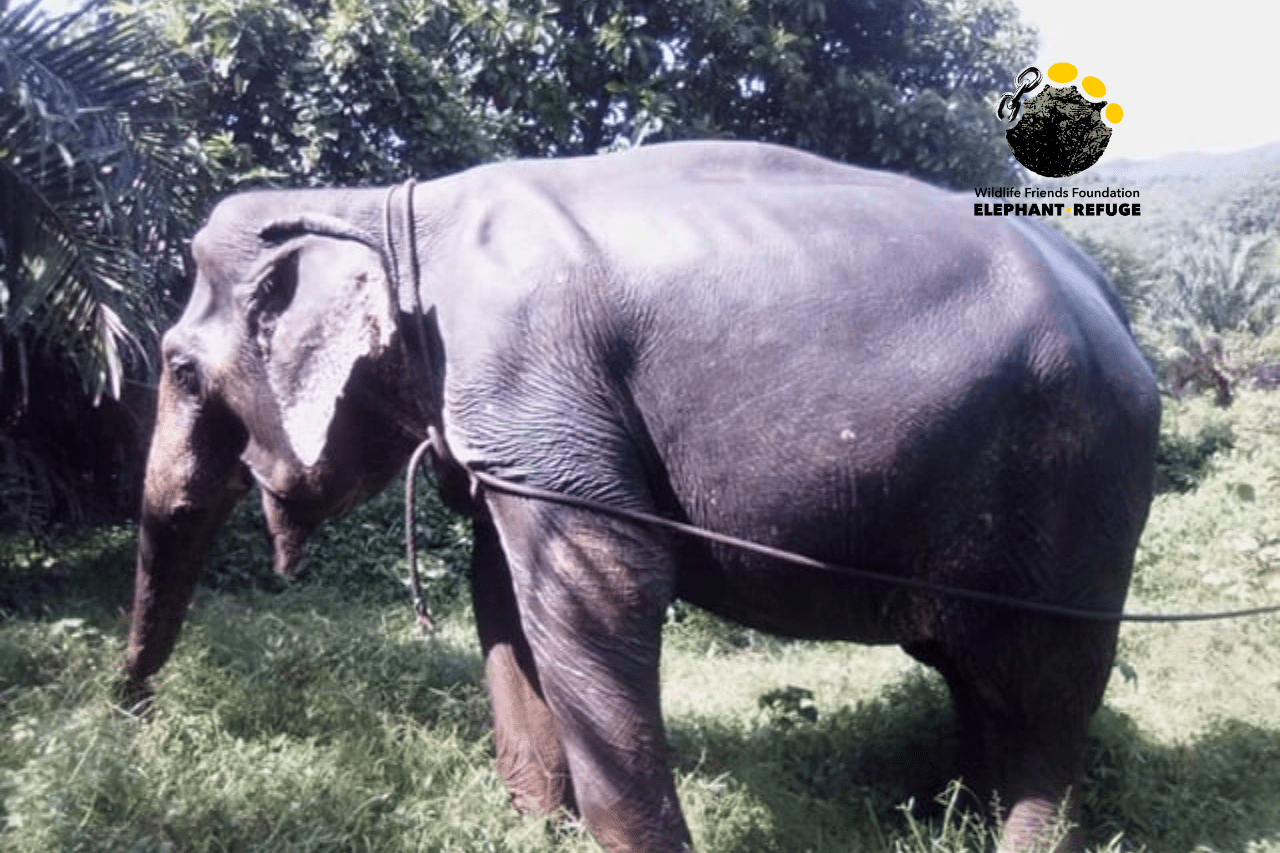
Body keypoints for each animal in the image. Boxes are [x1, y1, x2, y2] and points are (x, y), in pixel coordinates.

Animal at [121, 140, 1159, 852]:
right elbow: (503, 596)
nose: (130, 715)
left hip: (1081, 482)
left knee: (1046, 682)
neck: (387, 209)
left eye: (178, 368)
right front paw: (533, 827)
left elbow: (605, 588)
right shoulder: (517, 427)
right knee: (979, 675)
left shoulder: (530, 376)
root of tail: (1114, 306)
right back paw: (960, 818)